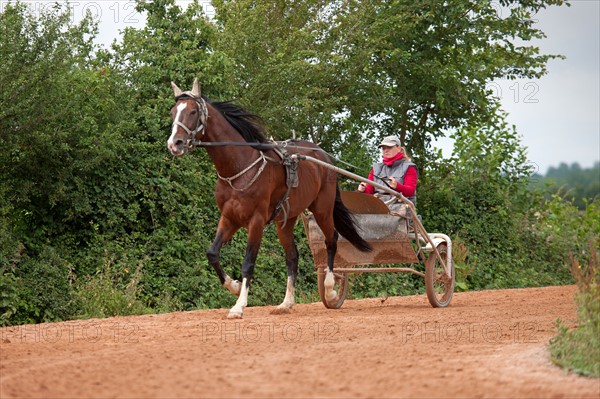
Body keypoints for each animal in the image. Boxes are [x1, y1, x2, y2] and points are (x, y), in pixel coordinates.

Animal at [165, 79, 370, 320]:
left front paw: (239, 305)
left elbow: (248, 262)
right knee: (292, 256)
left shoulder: (256, 221)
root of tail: (321, 155)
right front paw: (234, 286)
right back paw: (286, 303)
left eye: (193, 111)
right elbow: (212, 253)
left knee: (331, 240)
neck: (239, 167)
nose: (175, 144)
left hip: (322, 208)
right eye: (173, 112)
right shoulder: (229, 217)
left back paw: (330, 289)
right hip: (287, 220)